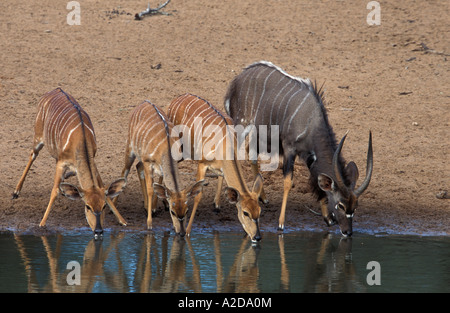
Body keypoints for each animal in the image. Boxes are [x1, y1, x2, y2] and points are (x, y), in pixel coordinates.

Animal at [12, 86, 127, 235]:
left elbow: (102, 186)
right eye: (87, 206)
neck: (81, 139)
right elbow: (54, 191)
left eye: (103, 207)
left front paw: (122, 220)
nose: (98, 230)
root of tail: (55, 89)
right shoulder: (62, 163)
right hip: (38, 138)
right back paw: (16, 192)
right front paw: (42, 223)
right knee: (32, 155)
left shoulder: (92, 161)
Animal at [114, 100, 204, 234]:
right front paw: (149, 223)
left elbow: (161, 183)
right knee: (126, 170)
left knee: (138, 166)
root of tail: (144, 102)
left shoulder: (162, 165)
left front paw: (155, 208)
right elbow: (151, 189)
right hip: (130, 148)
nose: (182, 232)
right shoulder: (148, 162)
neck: (166, 147)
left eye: (187, 210)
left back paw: (146, 207)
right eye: (173, 212)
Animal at [167, 93, 264, 241]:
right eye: (245, 212)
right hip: (178, 149)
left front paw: (216, 205)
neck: (226, 144)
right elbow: (197, 195)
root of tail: (175, 100)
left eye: (259, 211)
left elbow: (221, 177)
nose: (257, 236)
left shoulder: (220, 167)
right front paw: (187, 231)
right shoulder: (202, 164)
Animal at [224, 61, 372, 235]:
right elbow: (288, 181)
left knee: (251, 154)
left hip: (258, 134)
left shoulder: (308, 156)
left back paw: (262, 197)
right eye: (340, 205)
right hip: (241, 126)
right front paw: (281, 224)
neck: (311, 121)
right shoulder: (290, 148)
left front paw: (327, 219)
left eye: (355, 206)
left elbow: (316, 179)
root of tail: (238, 79)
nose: (347, 232)